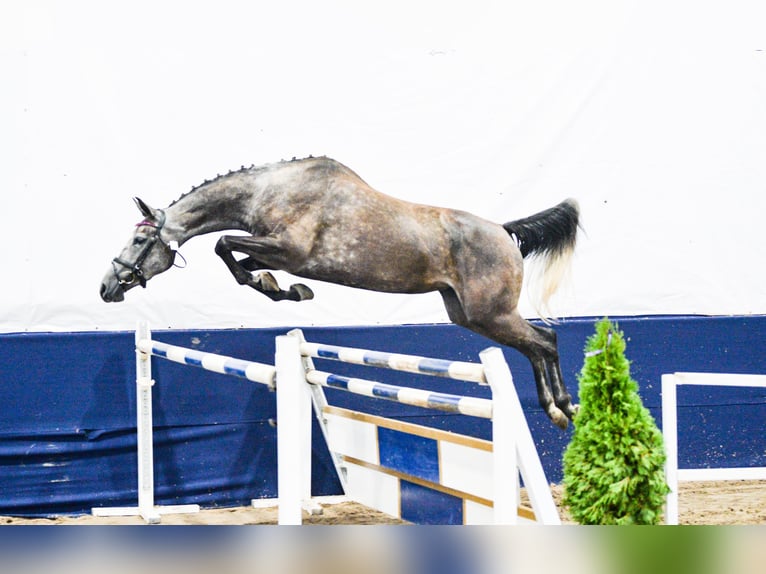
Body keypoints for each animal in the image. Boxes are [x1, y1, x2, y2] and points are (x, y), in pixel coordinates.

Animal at [100, 156, 580, 429]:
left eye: (140, 241)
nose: (106, 287)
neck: (267, 190)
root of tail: (503, 230)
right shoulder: (275, 252)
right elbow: (240, 261)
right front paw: (283, 289)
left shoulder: (287, 249)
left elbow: (223, 244)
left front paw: (287, 291)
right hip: (469, 315)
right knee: (535, 346)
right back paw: (556, 411)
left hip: (490, 314)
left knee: (546, 340)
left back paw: (564, 406)